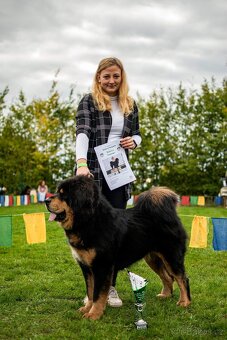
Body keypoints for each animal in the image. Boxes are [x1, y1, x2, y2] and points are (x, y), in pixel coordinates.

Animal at [45, 177, 191, 320]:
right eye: (58, 191)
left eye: (63, 194)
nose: (46, 200)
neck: (89, 220)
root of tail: (170, 214)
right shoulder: (86, 267)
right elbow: (90, 291)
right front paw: (87, 308)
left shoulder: (101, 266)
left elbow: (97, 294)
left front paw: (94, 314)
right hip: (153, 259)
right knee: (168, 278)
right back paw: (165, 295)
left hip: (171, 257)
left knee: (182, 278)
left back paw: (185, 302)